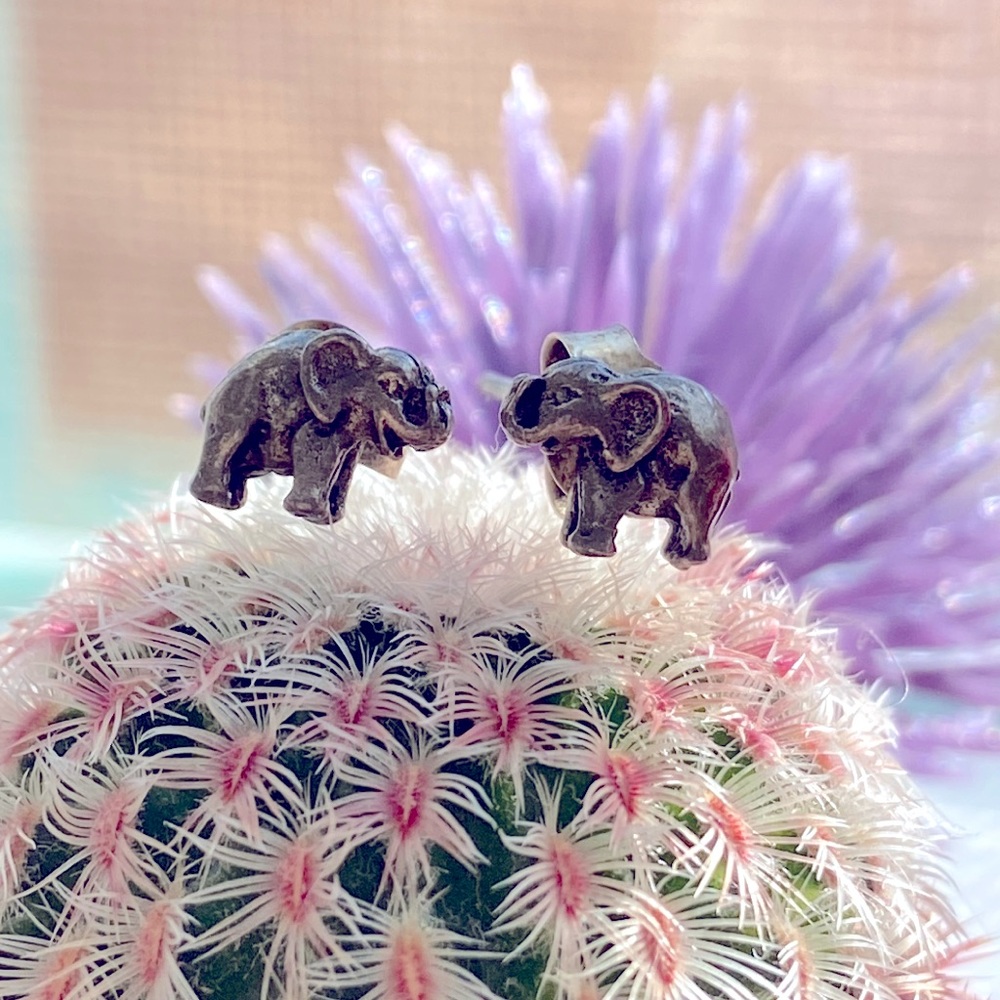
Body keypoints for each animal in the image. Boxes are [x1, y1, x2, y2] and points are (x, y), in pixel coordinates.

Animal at [190, 320, 452, 524]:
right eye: (391, 387)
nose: (441, 394)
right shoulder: (321, 422)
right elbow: (313, 447)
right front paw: (308, 514)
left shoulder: (353, 442)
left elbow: (345, 469)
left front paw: (330, 518)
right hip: (232, 410)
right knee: (225, 442)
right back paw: (217, 499)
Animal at [499, 327, 738, 567]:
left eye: (565, 396)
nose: (519, 382)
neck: (615, 383)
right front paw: (572, 541)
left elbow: (620, 489)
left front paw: (590, 551)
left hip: (705, 478)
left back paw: (679, 559)